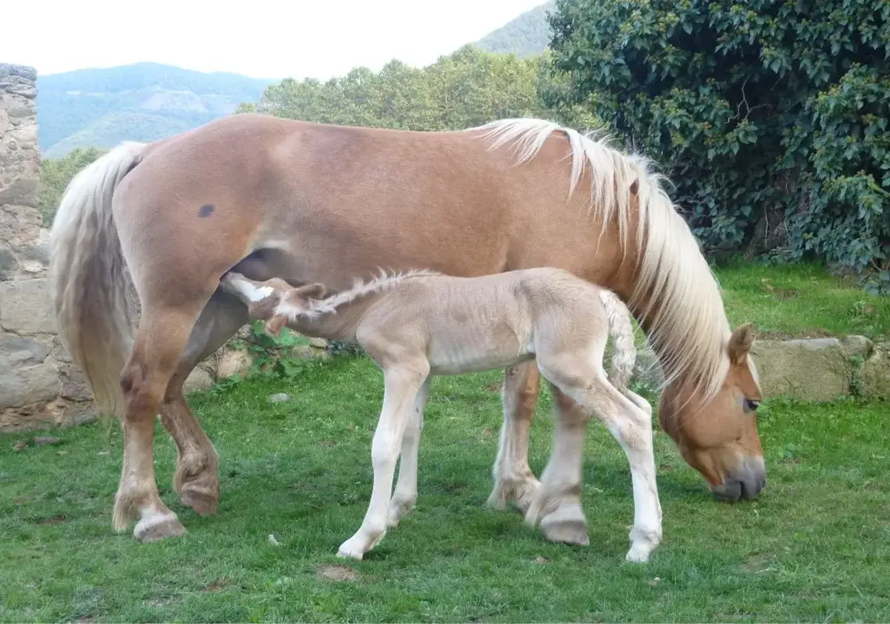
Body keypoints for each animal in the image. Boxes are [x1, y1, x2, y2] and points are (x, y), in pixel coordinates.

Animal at [220, 266, 660, 564]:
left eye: (260, 294)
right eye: (269, 281)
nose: (229, 274)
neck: (374, 306)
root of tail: (601, 294)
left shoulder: (403, 367)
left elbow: (384, 443)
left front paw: (363, 538)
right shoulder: (424, 372)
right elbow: (411, 431)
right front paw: (397, 510)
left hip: (568, 367)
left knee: (630, 422)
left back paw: (642, 542)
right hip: (589, 368)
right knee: (643, 407)